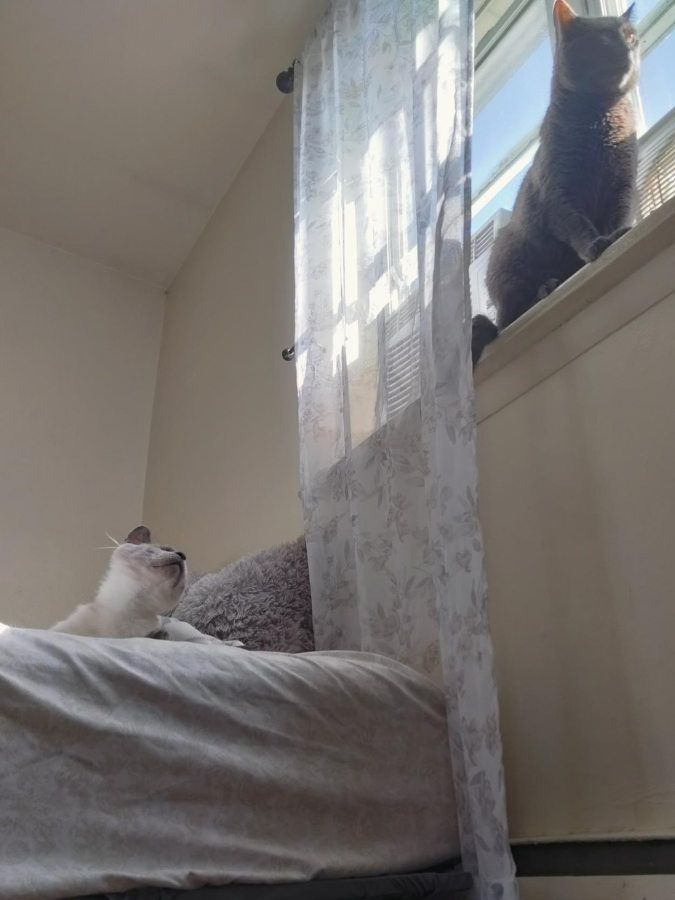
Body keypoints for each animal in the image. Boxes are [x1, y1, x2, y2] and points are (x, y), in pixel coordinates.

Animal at [51, 525, 241, 645]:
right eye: (166, 549)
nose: (182, 554)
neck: (128, 610)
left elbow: (155, 635)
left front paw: (157, 635)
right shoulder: (61, 630)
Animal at [471, 0, 639, 366]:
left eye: (631, 36)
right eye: (605, 38)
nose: (630, 49)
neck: (600, 120)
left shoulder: (623, 183)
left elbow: (619, 215)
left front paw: (618, 235)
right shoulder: (560, 194)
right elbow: (578, 226)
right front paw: (596, 245)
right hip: (509, 263)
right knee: (510, 317)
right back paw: (544, 289)